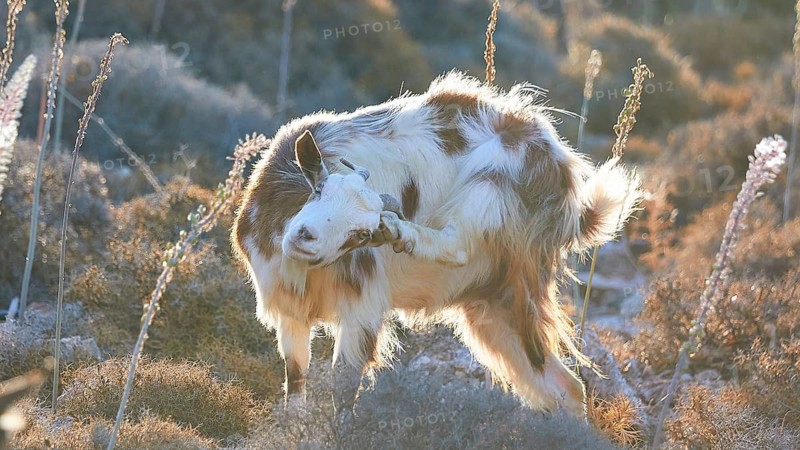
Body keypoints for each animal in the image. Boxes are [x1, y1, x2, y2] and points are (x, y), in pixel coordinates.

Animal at [232, 71, 640, 416]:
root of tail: (568, 180)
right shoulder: (289, 313)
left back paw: (403, 232)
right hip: (497, 305)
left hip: (492, 181)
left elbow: (343, 389)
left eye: (362, 234)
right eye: (319, 189)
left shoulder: (363, 310)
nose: (306, 237)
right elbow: (296, 381)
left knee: (457, 243)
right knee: (564, 387)